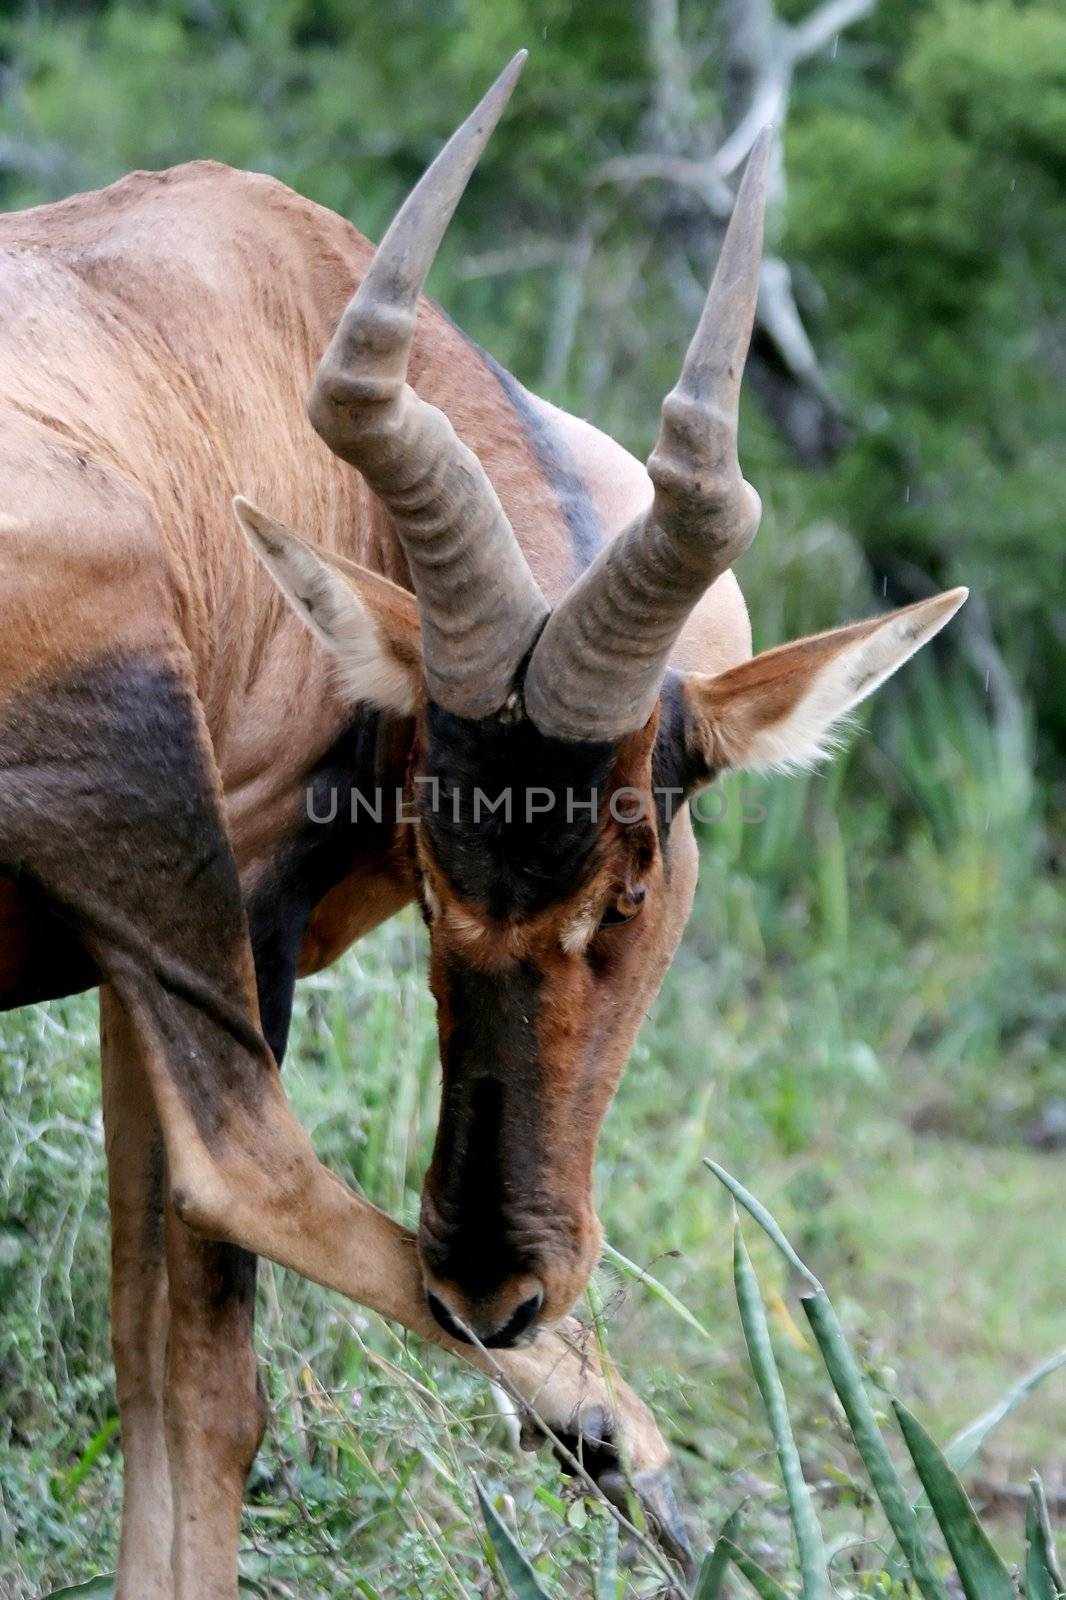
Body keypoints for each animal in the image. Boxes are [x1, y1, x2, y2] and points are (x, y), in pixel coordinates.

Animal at [0, 53, 960, 1600]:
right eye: (442, 877)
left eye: (624, 891)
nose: (491, 1284)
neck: (247, 301)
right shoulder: (234, 901)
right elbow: (203, 1372)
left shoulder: (131, 974)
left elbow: (147, 1345)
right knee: (245, 1171)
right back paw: (624, 1444)